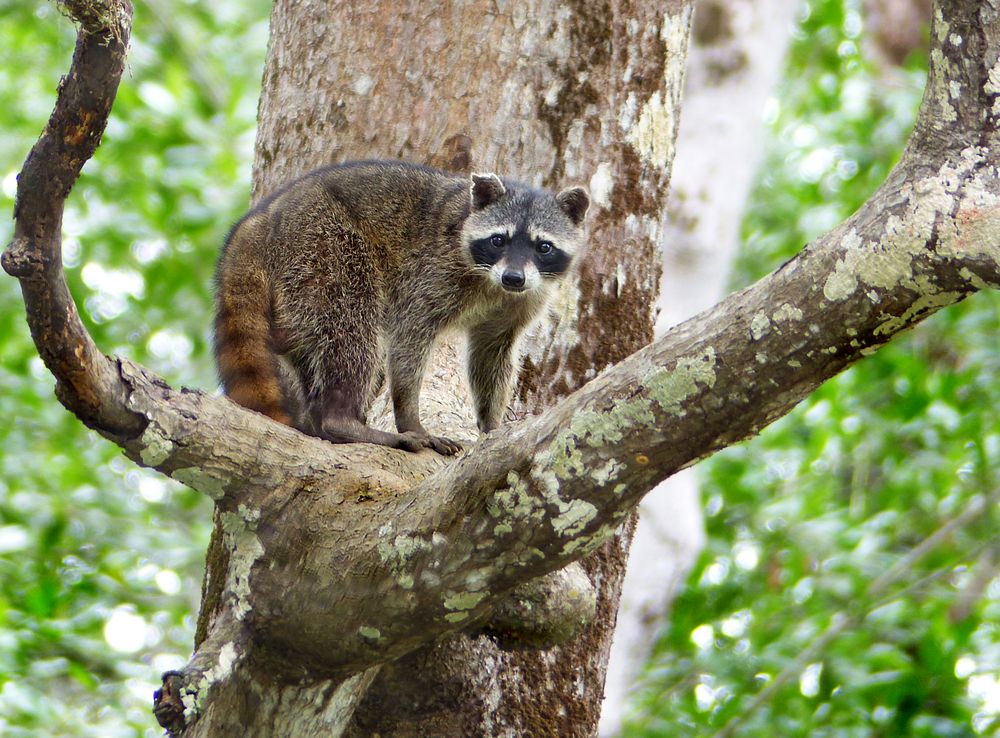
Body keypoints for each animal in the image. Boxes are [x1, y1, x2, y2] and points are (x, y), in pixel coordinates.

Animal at [212, 158, 584, 452]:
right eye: (498, 240)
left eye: (543, 247)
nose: (513, 277)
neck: (492, 282)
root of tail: (264, 218)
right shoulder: (433, 271)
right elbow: (409, 337)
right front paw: (410, 417)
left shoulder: (522, 300)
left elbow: (491, 354)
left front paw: (492, 425)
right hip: (324, 248)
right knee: (352, 332)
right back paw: (341, 419)